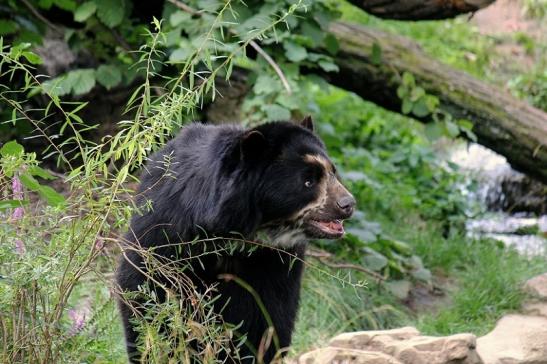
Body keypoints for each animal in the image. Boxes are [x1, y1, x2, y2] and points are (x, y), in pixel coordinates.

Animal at [116, 118, 356, 362]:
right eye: (308, 182)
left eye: (332, 172)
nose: (348, 204)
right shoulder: (168, 228)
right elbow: (148, 286)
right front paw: (159, 349)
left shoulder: (275, 262)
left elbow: (270, 315)